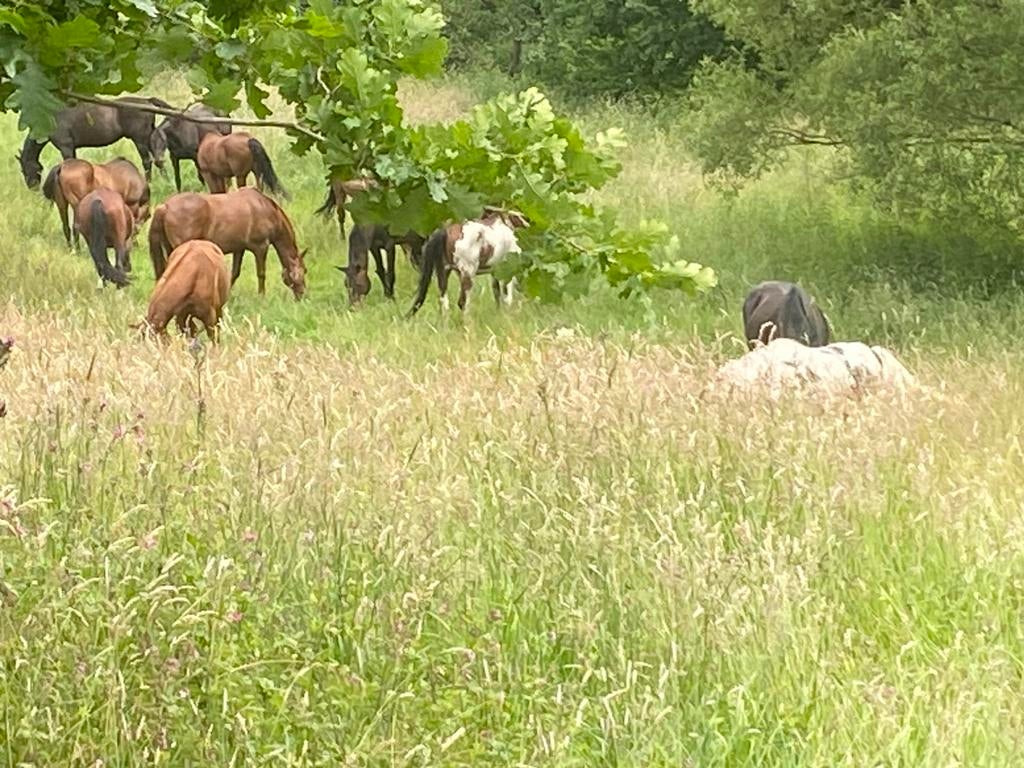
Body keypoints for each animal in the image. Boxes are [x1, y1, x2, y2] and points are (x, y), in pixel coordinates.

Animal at [17, 96, 171, 187]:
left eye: (24, 168)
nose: (32, 187)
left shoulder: (66, 147)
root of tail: (147, 101)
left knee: (147, 161)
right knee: (158, 159)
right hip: (148, 137)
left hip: (140, 140)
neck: (50, 120)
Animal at [148, 188, 306, 299]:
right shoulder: (261, 247)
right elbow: (261, 273)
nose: (303, 295)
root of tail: (165, 206)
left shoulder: (239, 249)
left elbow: (234, 273)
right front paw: (261, 296)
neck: (264, 209)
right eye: (304, 271)